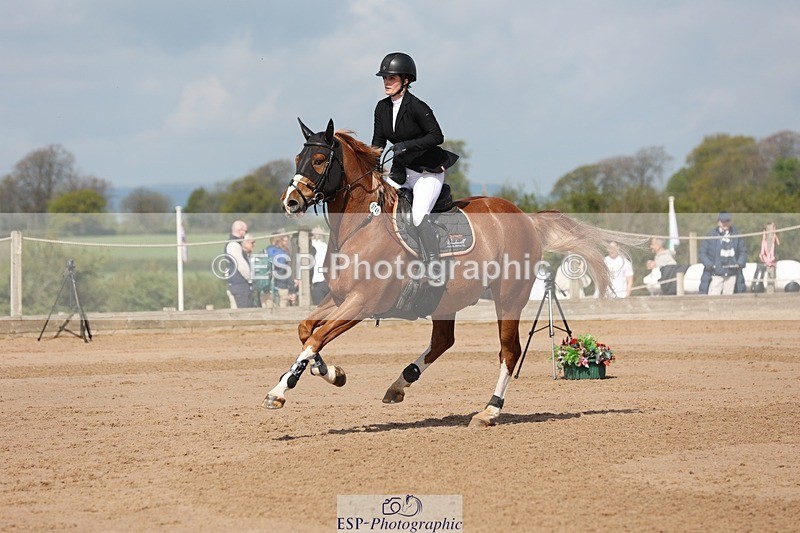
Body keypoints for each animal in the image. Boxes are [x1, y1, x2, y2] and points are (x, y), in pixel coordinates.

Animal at [262, 118, 621, 427]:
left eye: (319, 160)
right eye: (298, 158)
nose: (290, 202)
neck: (360, 226)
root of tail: (525, 218)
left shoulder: (362, 302)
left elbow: (317, 336)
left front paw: (279, 391)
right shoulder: (339, 298)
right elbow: (306, 331)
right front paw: (331, 372)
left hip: (509, 298)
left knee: (509, 351)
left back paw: (489, 411)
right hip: (445, 301)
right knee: (443, 341)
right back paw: (400, 384)